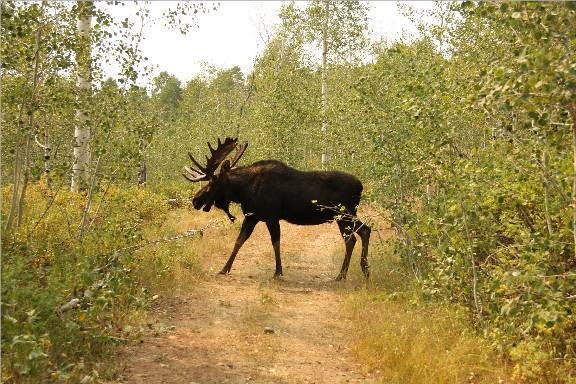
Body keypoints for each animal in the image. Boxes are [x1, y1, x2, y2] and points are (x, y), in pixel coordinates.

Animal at [182, 137, 372, 280]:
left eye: (212, 183)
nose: (195, 200)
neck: (243, 190)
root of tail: (361, 186)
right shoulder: (251, 216)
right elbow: (239, 241)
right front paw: (224, 268)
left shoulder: (271, 216)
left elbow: (276, 243)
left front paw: (278, 272)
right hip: (346, 215)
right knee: (364, 231)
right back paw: (363, 270)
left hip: (344, 214)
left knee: (352, 238)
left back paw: (343, 274)